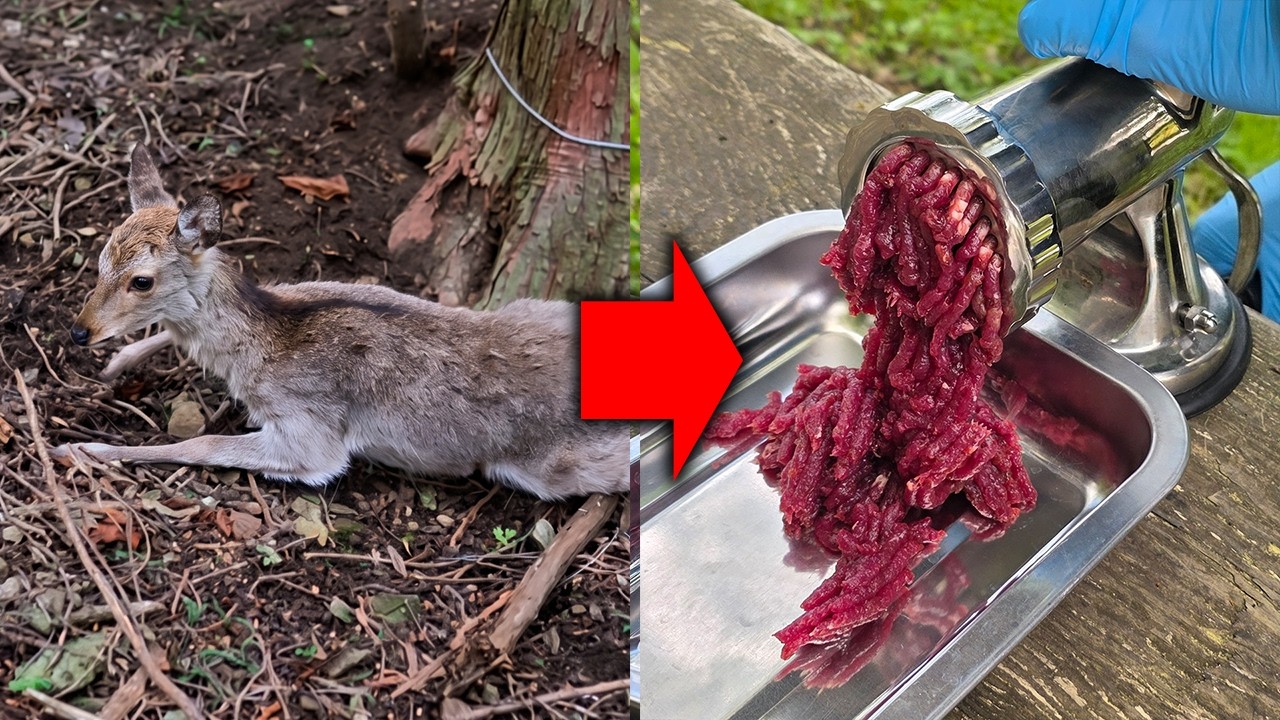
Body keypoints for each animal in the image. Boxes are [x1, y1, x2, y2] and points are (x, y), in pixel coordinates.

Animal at [50, 145, 627, 501]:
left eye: (141, 281)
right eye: (99, 259)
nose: (80, 331)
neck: (262, 346)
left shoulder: (312, 432)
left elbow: (202, 444)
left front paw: (82, 449)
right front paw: (116, 365)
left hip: (559, 464)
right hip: (539, 304)